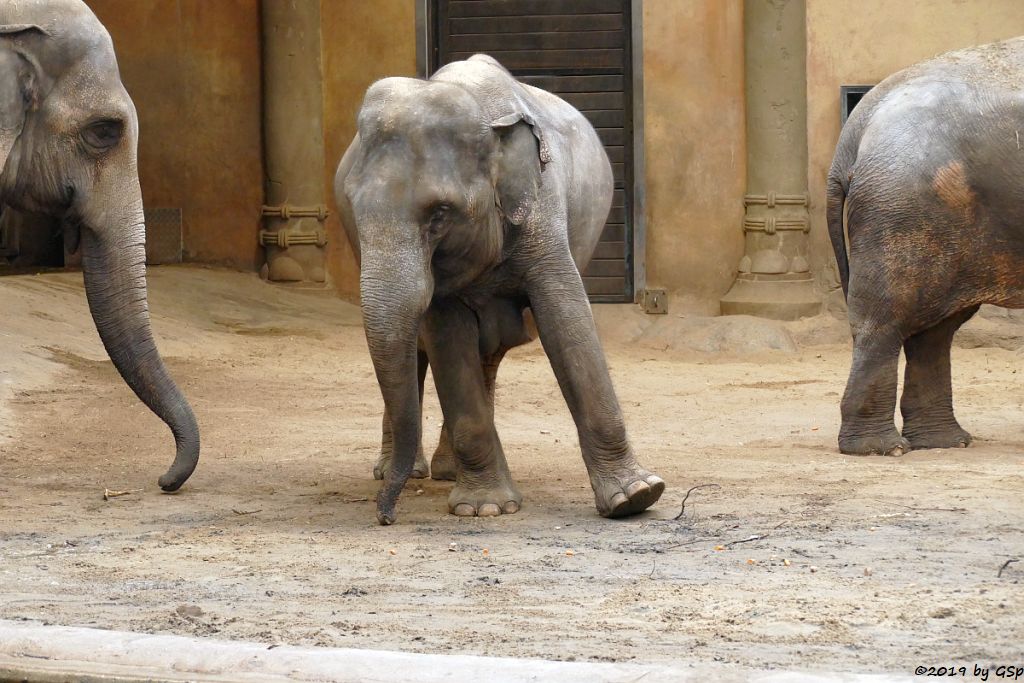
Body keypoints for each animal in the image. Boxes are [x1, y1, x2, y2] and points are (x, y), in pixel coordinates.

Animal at [335, 56, 663, 528]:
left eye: (440, 214)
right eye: (354, 208)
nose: (386, 517)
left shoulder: (544, 212)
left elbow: (567, 319)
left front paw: (636, 498)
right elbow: (445, 336)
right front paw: (485, 509)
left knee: (484, 354)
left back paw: (442, 471)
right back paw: (408, 472)